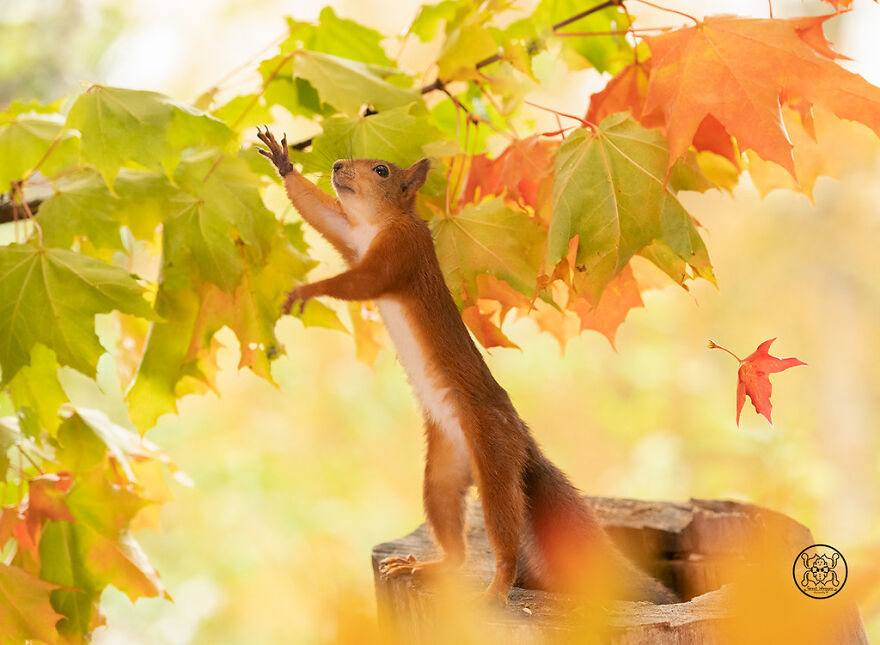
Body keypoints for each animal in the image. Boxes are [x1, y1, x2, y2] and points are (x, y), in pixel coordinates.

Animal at [257, 128, 678, 606]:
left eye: (381, 170)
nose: (337, 167)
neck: (376, 224)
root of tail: (522, 438)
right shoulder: (349, 234)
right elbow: (320, 215)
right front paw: (283, 163)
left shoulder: (401, 254)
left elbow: (362, 282)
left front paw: (308, 289)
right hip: (442, 470)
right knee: (450, 530)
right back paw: (427, 564)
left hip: (494, 454)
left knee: (504, 528)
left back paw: (496, 588)